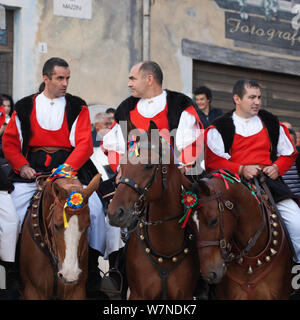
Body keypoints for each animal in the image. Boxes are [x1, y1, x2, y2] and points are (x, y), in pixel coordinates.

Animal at [108, 122, 199, 300]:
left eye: (148, 165)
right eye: (122, 165)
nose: (115, 213)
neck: (165, 249)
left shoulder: (184, 294)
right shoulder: (138, 295)